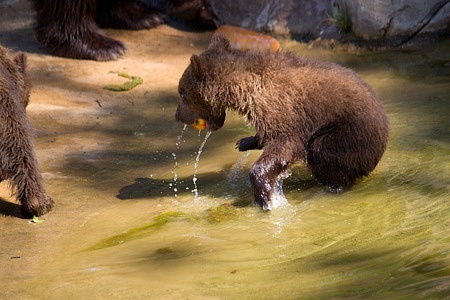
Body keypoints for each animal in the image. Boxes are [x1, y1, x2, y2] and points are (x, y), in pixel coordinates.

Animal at [174, 34, 388, 210]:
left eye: (182, 92)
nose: (177, 115)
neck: (243, 89)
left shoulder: (283, 109)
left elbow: (286, 142)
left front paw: (265, 197)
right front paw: (244, 142)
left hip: (348, 132)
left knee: (324, 153)